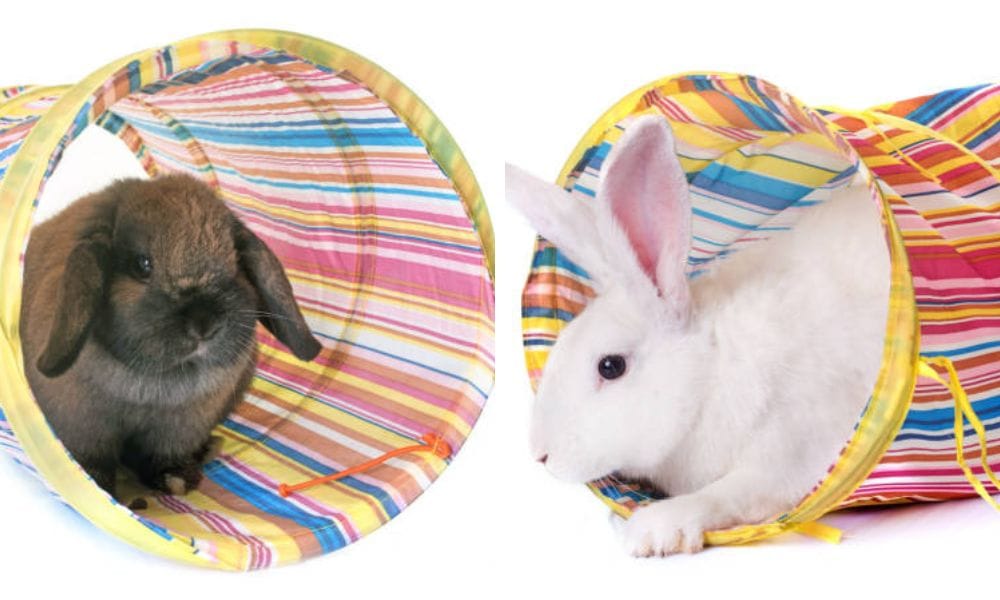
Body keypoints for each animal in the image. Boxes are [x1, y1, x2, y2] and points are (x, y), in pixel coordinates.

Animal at [19, 173, 322, 500]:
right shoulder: (83, 425)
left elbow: (163, 456)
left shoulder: (180, 429)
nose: (204, 324)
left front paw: (176, 481)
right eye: (142, 264)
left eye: (234, 260)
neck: (156, 384)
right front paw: (94, 483)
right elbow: (90, 457)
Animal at [506, 114, 889, 557]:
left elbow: (731, 493)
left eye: (610, 366)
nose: (541, 455)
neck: (711, 369)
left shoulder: (794, 446)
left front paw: (652, 531)